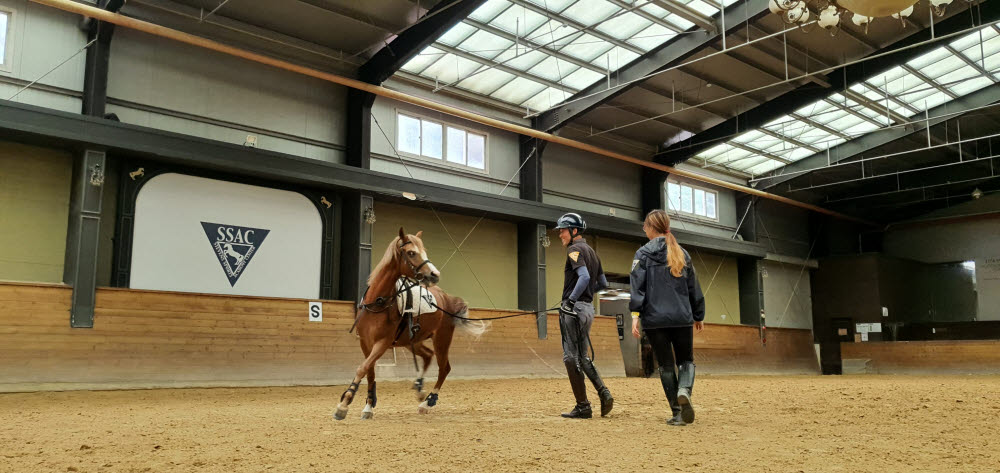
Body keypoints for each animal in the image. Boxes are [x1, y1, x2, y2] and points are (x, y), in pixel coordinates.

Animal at [332, 227, 488, 418]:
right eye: (411, 252)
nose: (435, 275)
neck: (378, 302)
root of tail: (446, 298)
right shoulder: (365, 343)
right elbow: (369, 371)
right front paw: (368, 405)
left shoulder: (382, 343)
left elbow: (363, 368)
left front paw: (344, 404)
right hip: (411, 340)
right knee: (428, 355)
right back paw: (419, 387)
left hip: (441, 340)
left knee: (444, 368)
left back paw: (428, 402)